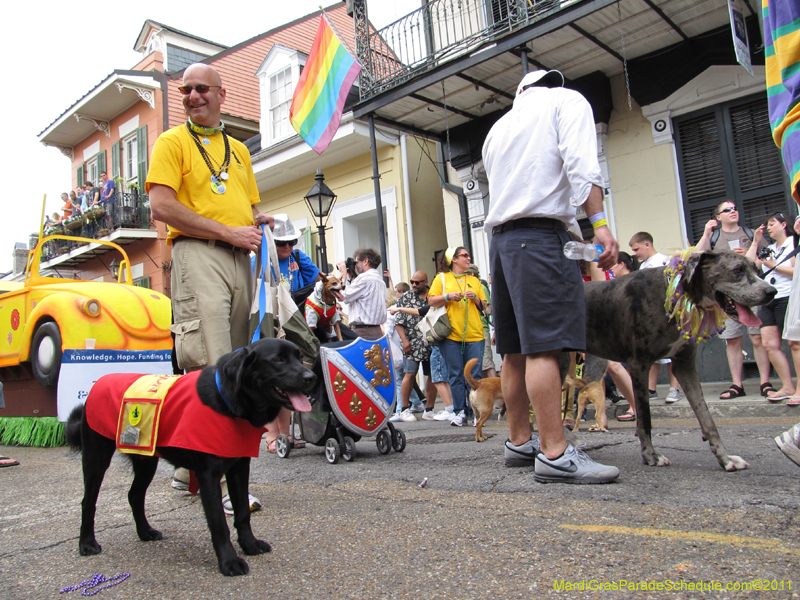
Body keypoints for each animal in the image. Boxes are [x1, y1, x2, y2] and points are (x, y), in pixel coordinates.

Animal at [66, 338, 316, 576]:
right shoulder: (209, 475)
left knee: (134, 495)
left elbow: (243, 513)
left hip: (146, 460)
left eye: (299, 357)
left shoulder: (239, 468)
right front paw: (229, 562)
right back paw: (87, 543)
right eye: (278, 360)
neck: (226, 400)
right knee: (88, 502)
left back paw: (145, 532)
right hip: (97, 458)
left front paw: (250, 545)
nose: (312, 378)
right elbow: (219, 523)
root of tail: (99, 383)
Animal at [580, 251, 776, 472]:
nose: (772, 291)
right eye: (737, 270)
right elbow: (645, 418)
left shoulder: (685, 366)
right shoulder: (638, 365)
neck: (676, 293)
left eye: (756, 269)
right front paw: (651, 456)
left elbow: (707, 418)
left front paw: (725, 458)